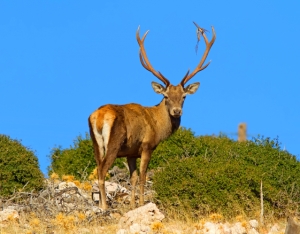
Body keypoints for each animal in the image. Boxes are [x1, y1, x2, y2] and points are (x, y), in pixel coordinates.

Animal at [88, 22, 216, 209]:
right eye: (166, 96)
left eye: (184, 96)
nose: (176, 111)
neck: (157, 126)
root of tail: (99, 117)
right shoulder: (147, 146)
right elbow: (143, 176)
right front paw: (142, 203)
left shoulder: (131, 152)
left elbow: (133, 178)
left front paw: (132, 205)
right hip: (114, 143)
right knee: (102, 170)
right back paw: (104, 206)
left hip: (96, 144)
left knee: (98, 167)